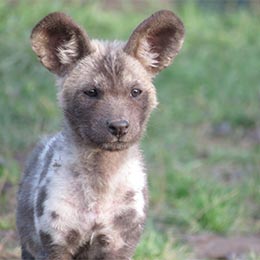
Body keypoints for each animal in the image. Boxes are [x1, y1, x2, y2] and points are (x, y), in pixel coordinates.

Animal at [16, 9, 184, 258]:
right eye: (91, 92)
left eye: (135, 92)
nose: (119, 126)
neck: (100, 182)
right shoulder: (56, 244)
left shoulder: (118, 245)